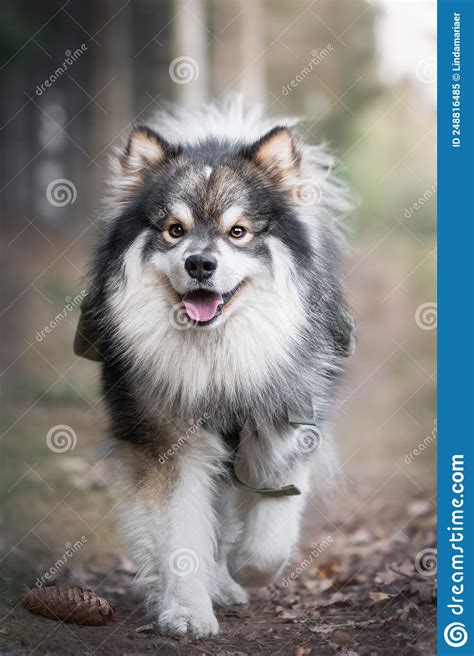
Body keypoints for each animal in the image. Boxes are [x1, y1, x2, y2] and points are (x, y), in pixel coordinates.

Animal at [81, 97, 354, 636]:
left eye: (238, 231)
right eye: (174, 230)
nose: (200, 264)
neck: (216, 353)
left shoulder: (286, 428)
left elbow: (270, 531)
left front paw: (248, 569)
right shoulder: (168, 442)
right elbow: (181, 534)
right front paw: (187, 610)